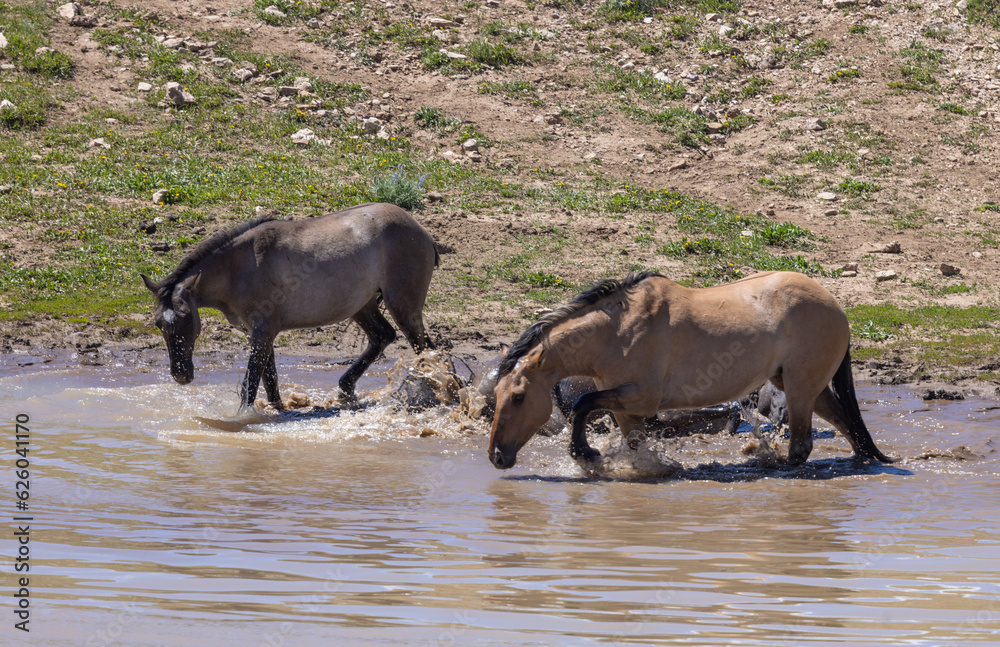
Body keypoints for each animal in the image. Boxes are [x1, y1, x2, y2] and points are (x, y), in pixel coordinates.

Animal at [141, 203, 438, 409]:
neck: (240, 268)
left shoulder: (263, 331)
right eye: (159, 323)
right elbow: (270, 381)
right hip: (362, 306)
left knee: (424, 349)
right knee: (384, 336)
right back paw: (346, 389)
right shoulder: (260, 333)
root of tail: (422, 232)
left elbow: (251, 384)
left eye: (187, 318)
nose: (181, 375)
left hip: (403, 306)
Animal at [488, 271, 892, 469]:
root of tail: (836, 306)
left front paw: (584, 454)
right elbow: (633, 443)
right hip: (803, 386)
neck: (616, 331)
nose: (496, 456)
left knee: (803, 446)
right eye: (497, 395)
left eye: (519, 397)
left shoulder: (640, 398)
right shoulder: (629, 408)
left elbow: (582, 403)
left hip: (799, 388)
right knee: (849, 427)